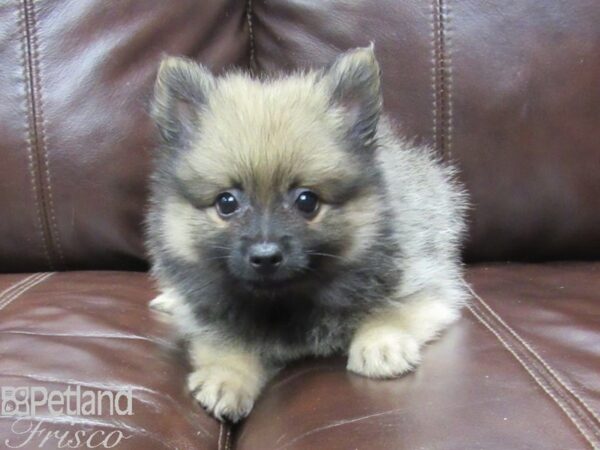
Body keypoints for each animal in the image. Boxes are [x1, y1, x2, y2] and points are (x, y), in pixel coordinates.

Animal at [144, 45, 468, 422]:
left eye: (306, 201)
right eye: (226, 203)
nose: (265, 256)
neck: (284, 301)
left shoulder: (428, 283)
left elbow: (395, 308)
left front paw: (380, 343)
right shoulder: (210, 310)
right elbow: (226, 340)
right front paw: (228, 377)